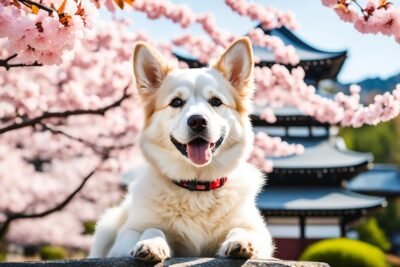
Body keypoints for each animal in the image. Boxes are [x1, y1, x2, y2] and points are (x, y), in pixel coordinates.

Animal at [88, 37, 274, 262]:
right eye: (176, 102)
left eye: (216, 101)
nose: (197, 121)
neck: (197, 188)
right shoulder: (126, 236)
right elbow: (151, 229)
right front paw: (152, 243)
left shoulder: (258, 232)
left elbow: (242, 229)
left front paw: (241, 241)